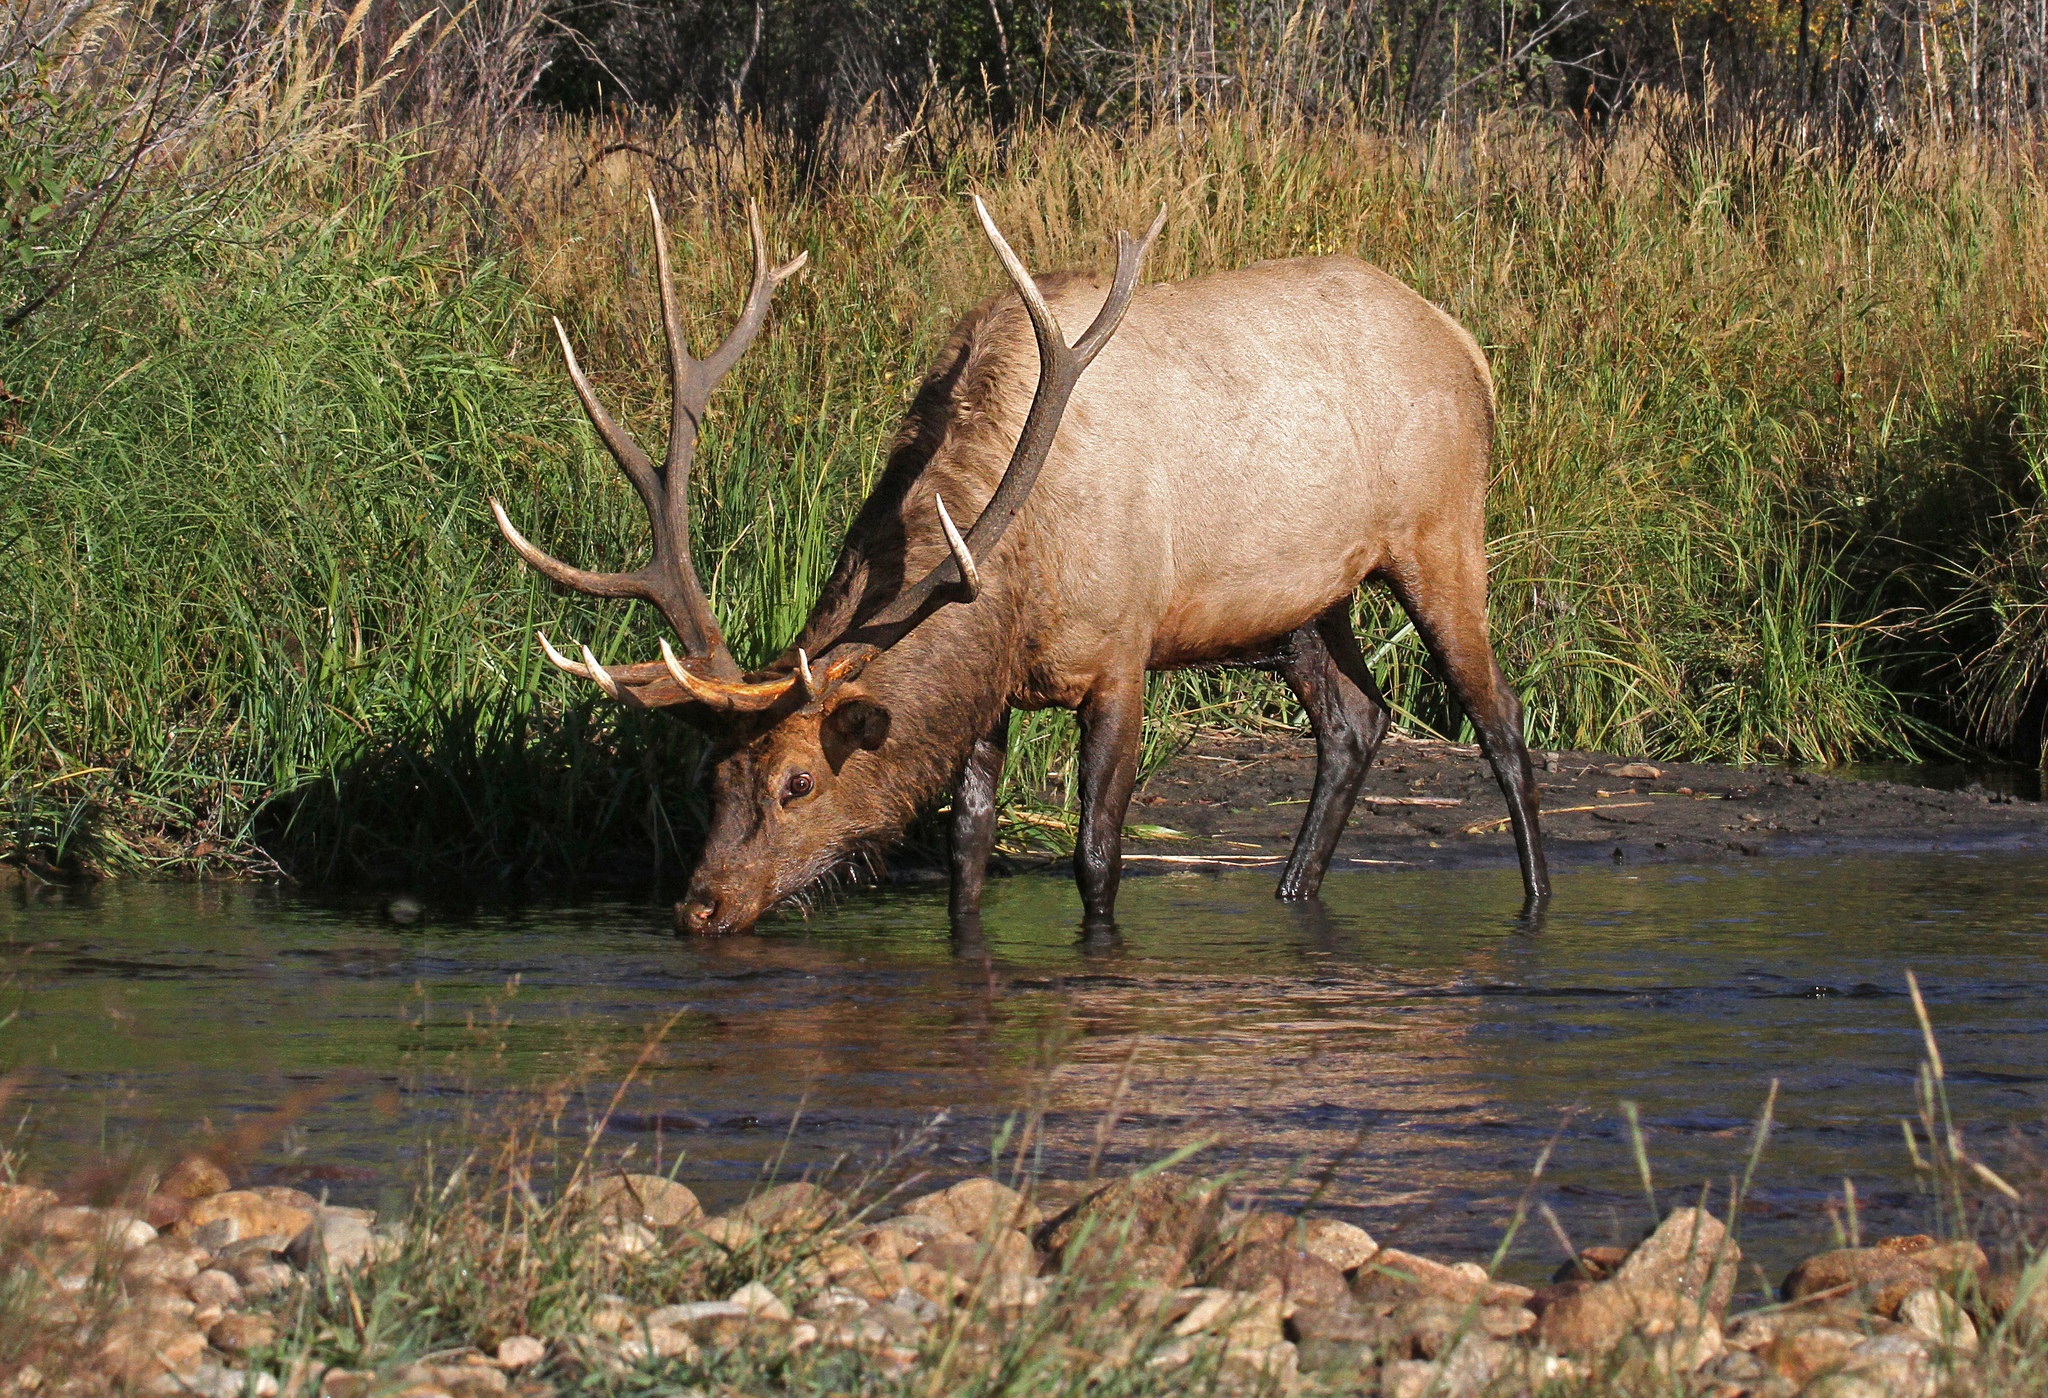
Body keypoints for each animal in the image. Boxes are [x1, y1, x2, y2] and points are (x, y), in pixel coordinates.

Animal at [495, 196, 1540, 933]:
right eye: (712, 780)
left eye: (798, 783)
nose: (700, 906)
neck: (1020, 575)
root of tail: (1469, 346)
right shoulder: (992, 687)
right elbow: (966, 849)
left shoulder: (1122, 653)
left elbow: (1096, 855)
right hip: (1302, 602)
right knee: (1358, 719)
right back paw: (1292, 893)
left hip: (1443, 532)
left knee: (1500, 722)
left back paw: (1532, 905)